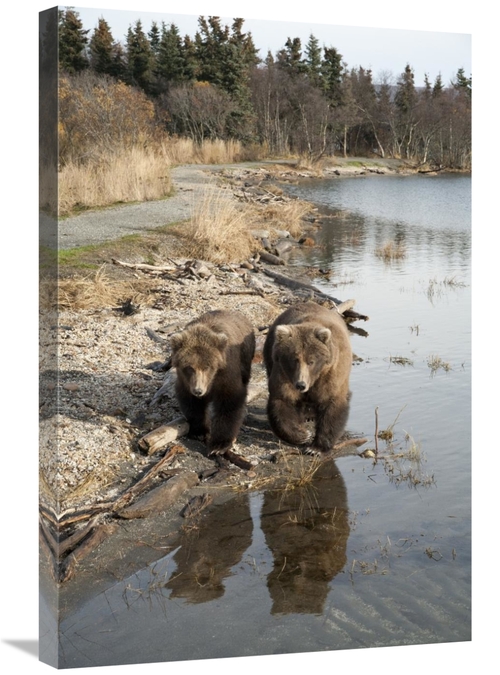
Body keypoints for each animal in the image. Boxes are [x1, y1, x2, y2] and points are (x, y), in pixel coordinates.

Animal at [170, 310, 255, 455]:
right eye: (189, 367)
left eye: (207, 367)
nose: (198, 390)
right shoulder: (186, 381)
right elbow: (192, 403)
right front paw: (199, 431)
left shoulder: (226, 372)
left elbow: (229, 401)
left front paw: (219, 445)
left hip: (246, 355)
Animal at [263, 301, 352, 454]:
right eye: (294, 359)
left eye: (311, 361)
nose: (301, 384)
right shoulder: (284, 373)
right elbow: (283, 400)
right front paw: (303, 435)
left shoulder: (331, 373)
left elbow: (331, 403)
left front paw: (315, 448)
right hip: (270, 355)